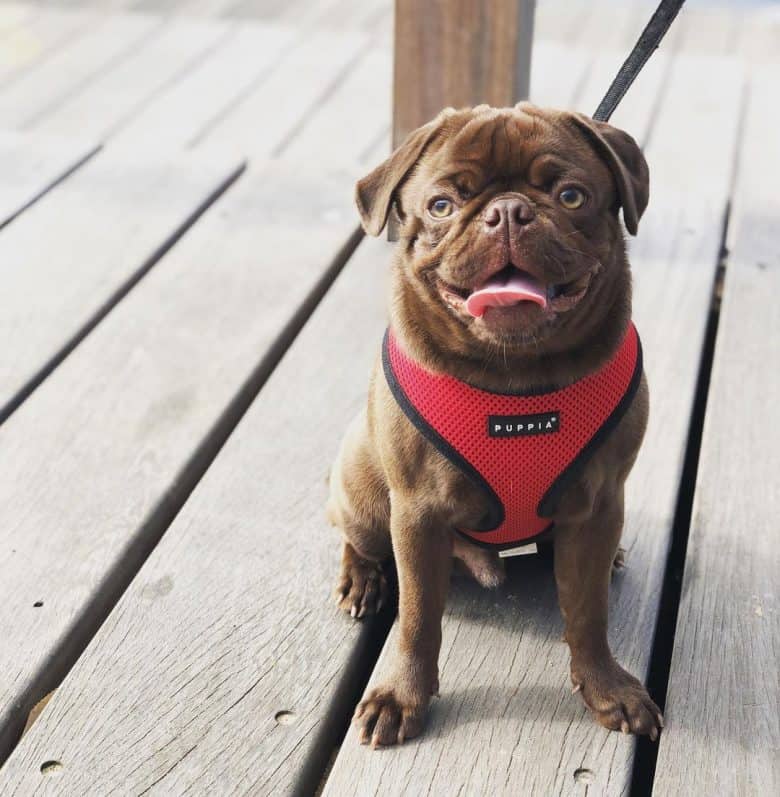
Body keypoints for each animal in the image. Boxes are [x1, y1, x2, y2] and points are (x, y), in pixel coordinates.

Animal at [326, 101, 660, 748]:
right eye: (441, 206)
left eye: (572, 195)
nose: (508, 211)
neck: (516, 376)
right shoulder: (418, 514)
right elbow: (418, 619)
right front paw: (401, 696)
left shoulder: (599, 503)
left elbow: (589, 614)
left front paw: (606, 687)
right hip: (364, 490)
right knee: (358, 537)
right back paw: (361, 580)